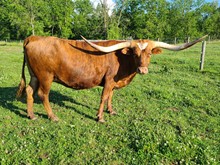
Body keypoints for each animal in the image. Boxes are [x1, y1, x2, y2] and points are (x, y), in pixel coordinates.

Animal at [16, 35, 206, 122]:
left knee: (30, 91)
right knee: (43, 94)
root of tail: (34, 37)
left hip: (35, 76)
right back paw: (52, 116)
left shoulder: (114, 83)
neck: (122, 59)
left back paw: (31, 115)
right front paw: (100, 117)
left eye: (150, 53)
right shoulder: (108, 81)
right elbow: (103, 97)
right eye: (135, 53)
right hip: (46, 76)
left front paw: (111, 111)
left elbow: (110, 97)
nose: (143, 70)